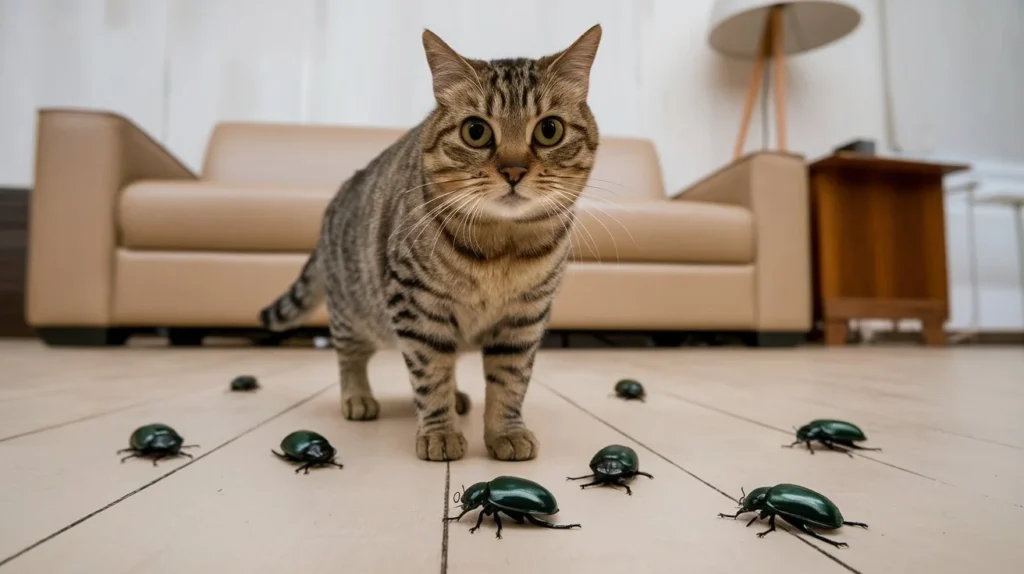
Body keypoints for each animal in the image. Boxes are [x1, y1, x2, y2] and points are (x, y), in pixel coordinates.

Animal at [260, 24, 602, 460]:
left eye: (549, 129)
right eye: (476, 131)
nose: (513, 171)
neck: (502, 247)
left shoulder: (524, 318)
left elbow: (509, 381)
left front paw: (506, 432)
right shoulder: (417, 307)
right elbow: (430, 373)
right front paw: (440, 432)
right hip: (354, 312)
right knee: (350, 356)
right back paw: (358, 397)